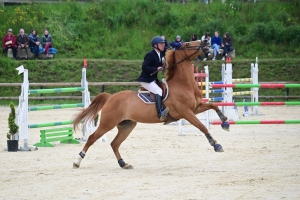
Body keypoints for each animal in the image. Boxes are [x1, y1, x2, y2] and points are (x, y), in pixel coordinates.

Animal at [72, 40, 227, 169]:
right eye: (188, 44)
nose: (206, 42)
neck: (182, 84)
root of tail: (111, 97)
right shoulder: (186, 112)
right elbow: (202, 127)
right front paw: (216, 145)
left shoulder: (195, 108)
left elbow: (214, 106)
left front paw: (225, 122)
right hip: (107, 123)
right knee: (92, 138)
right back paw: (77, 161)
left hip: (127, 125)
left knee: (114, 143)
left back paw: (123, 163)